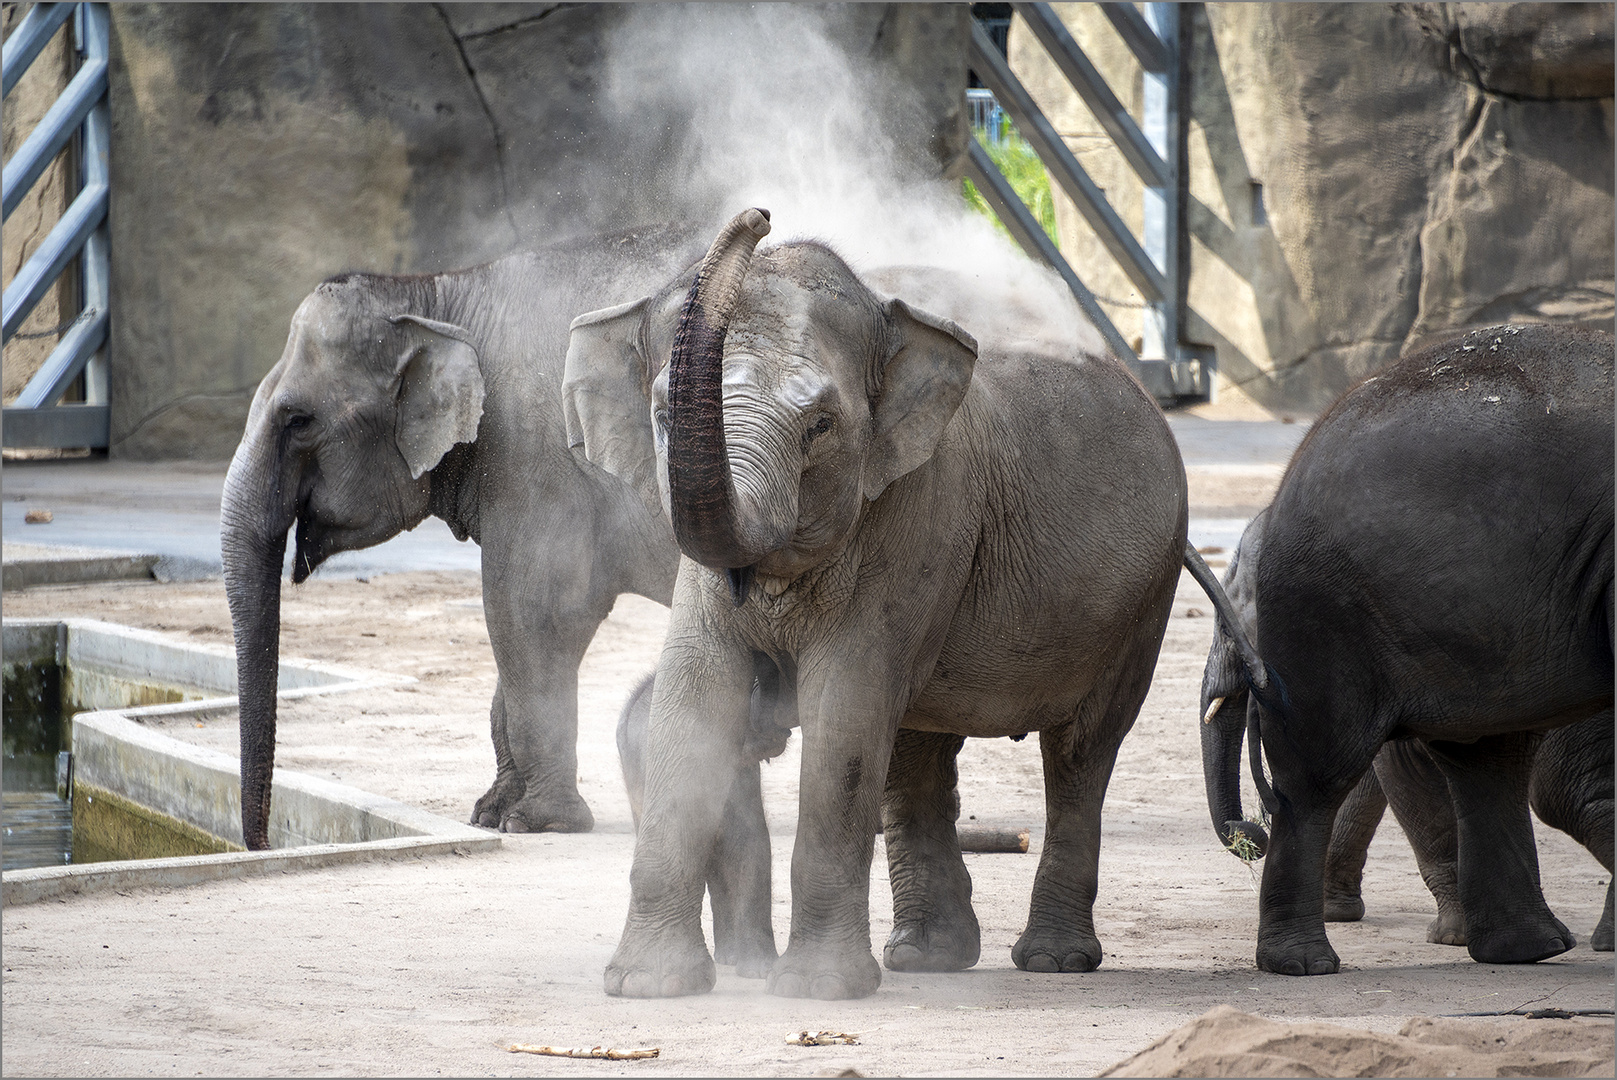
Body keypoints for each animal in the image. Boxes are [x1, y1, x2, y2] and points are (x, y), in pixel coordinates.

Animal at [223, 227, 714, 853]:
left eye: (298, 419)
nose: (261, 843)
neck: (440, 293)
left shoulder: (538, 461)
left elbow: (529, 613)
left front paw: (536, 823)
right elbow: (516, 632)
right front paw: (488, 813)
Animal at [559, 210, 1190, 1002]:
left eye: (820, 426)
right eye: (662, 413)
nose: (758, 216)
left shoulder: (918, 514)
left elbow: (845, 711)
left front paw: (816, 991)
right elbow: (693, 695)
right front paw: (647, 987)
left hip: (1145, 596)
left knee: (1080, 753)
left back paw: (1051, 961)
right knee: (915, 748)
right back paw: (926, 957)